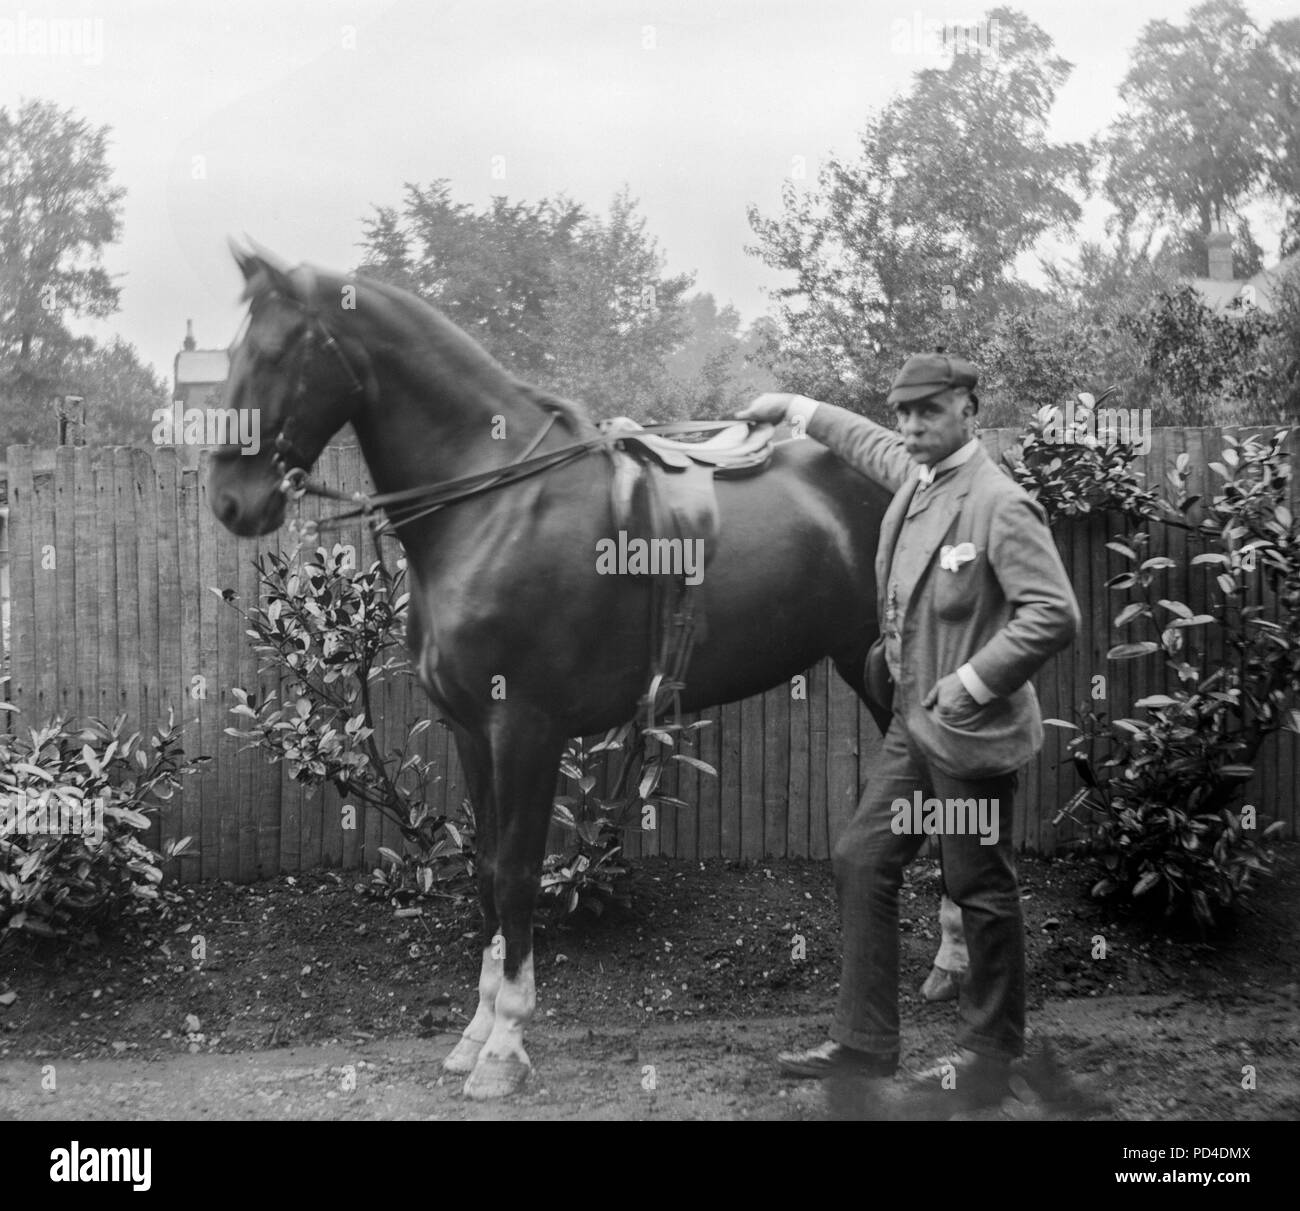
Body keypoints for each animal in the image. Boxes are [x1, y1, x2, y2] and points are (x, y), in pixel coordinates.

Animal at [208, 242, 925, 1096]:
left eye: (274, 352)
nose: (229, 500)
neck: (493, 504)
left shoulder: (526, 728)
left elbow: (516, 873)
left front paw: (506, 1045)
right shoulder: (471, 729)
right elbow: (486, 870)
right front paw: (476, 1030)